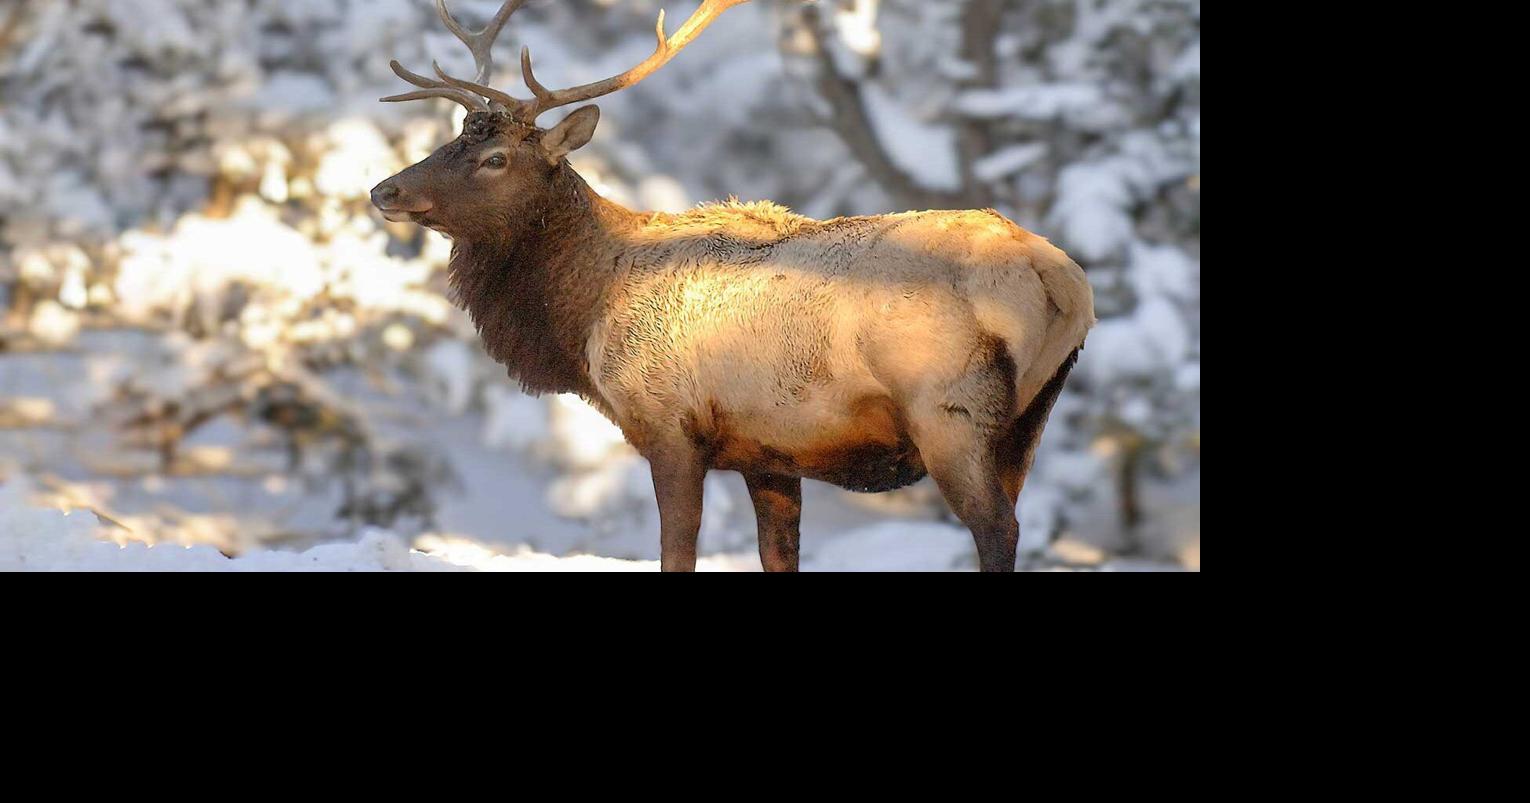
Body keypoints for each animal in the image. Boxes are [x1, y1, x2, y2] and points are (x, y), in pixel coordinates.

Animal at [370, 0, 1095, 572]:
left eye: (495, 159)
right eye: (449, 140)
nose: (385, 190)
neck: (583, 314)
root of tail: (1063, 280)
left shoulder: (670, 426)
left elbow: (676, 551)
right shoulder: (768, 453)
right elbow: (778, 554)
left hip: (950, 411)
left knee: (996, 530)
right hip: (1027, 418)